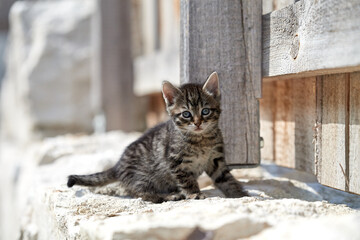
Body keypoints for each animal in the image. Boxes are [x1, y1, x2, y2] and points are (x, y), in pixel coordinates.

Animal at [67, 71, 248, 202]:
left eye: (205, 111)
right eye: (186, 114)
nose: (197, 123)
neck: (201, 140)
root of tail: (118, 166)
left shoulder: (216, 160)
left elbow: (226, 178)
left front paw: (239, 194)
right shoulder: (176, 162)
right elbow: (187, 180)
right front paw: (194, 193)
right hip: (142, 177)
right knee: (140, 193)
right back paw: (168, 196)